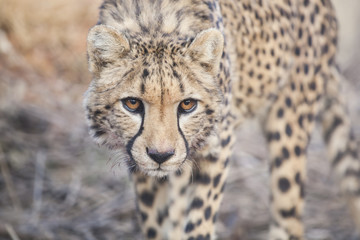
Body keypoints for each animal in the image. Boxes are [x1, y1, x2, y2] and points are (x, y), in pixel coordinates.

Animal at [83, 0, 360, 239]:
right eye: (132, 103)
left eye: (187, 104)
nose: (161, 155)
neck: (156, 26)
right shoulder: (142, 165)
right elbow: (157, 223)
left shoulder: (218, 145)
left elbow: (200, 217)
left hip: (289, 120)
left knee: (288, 215)